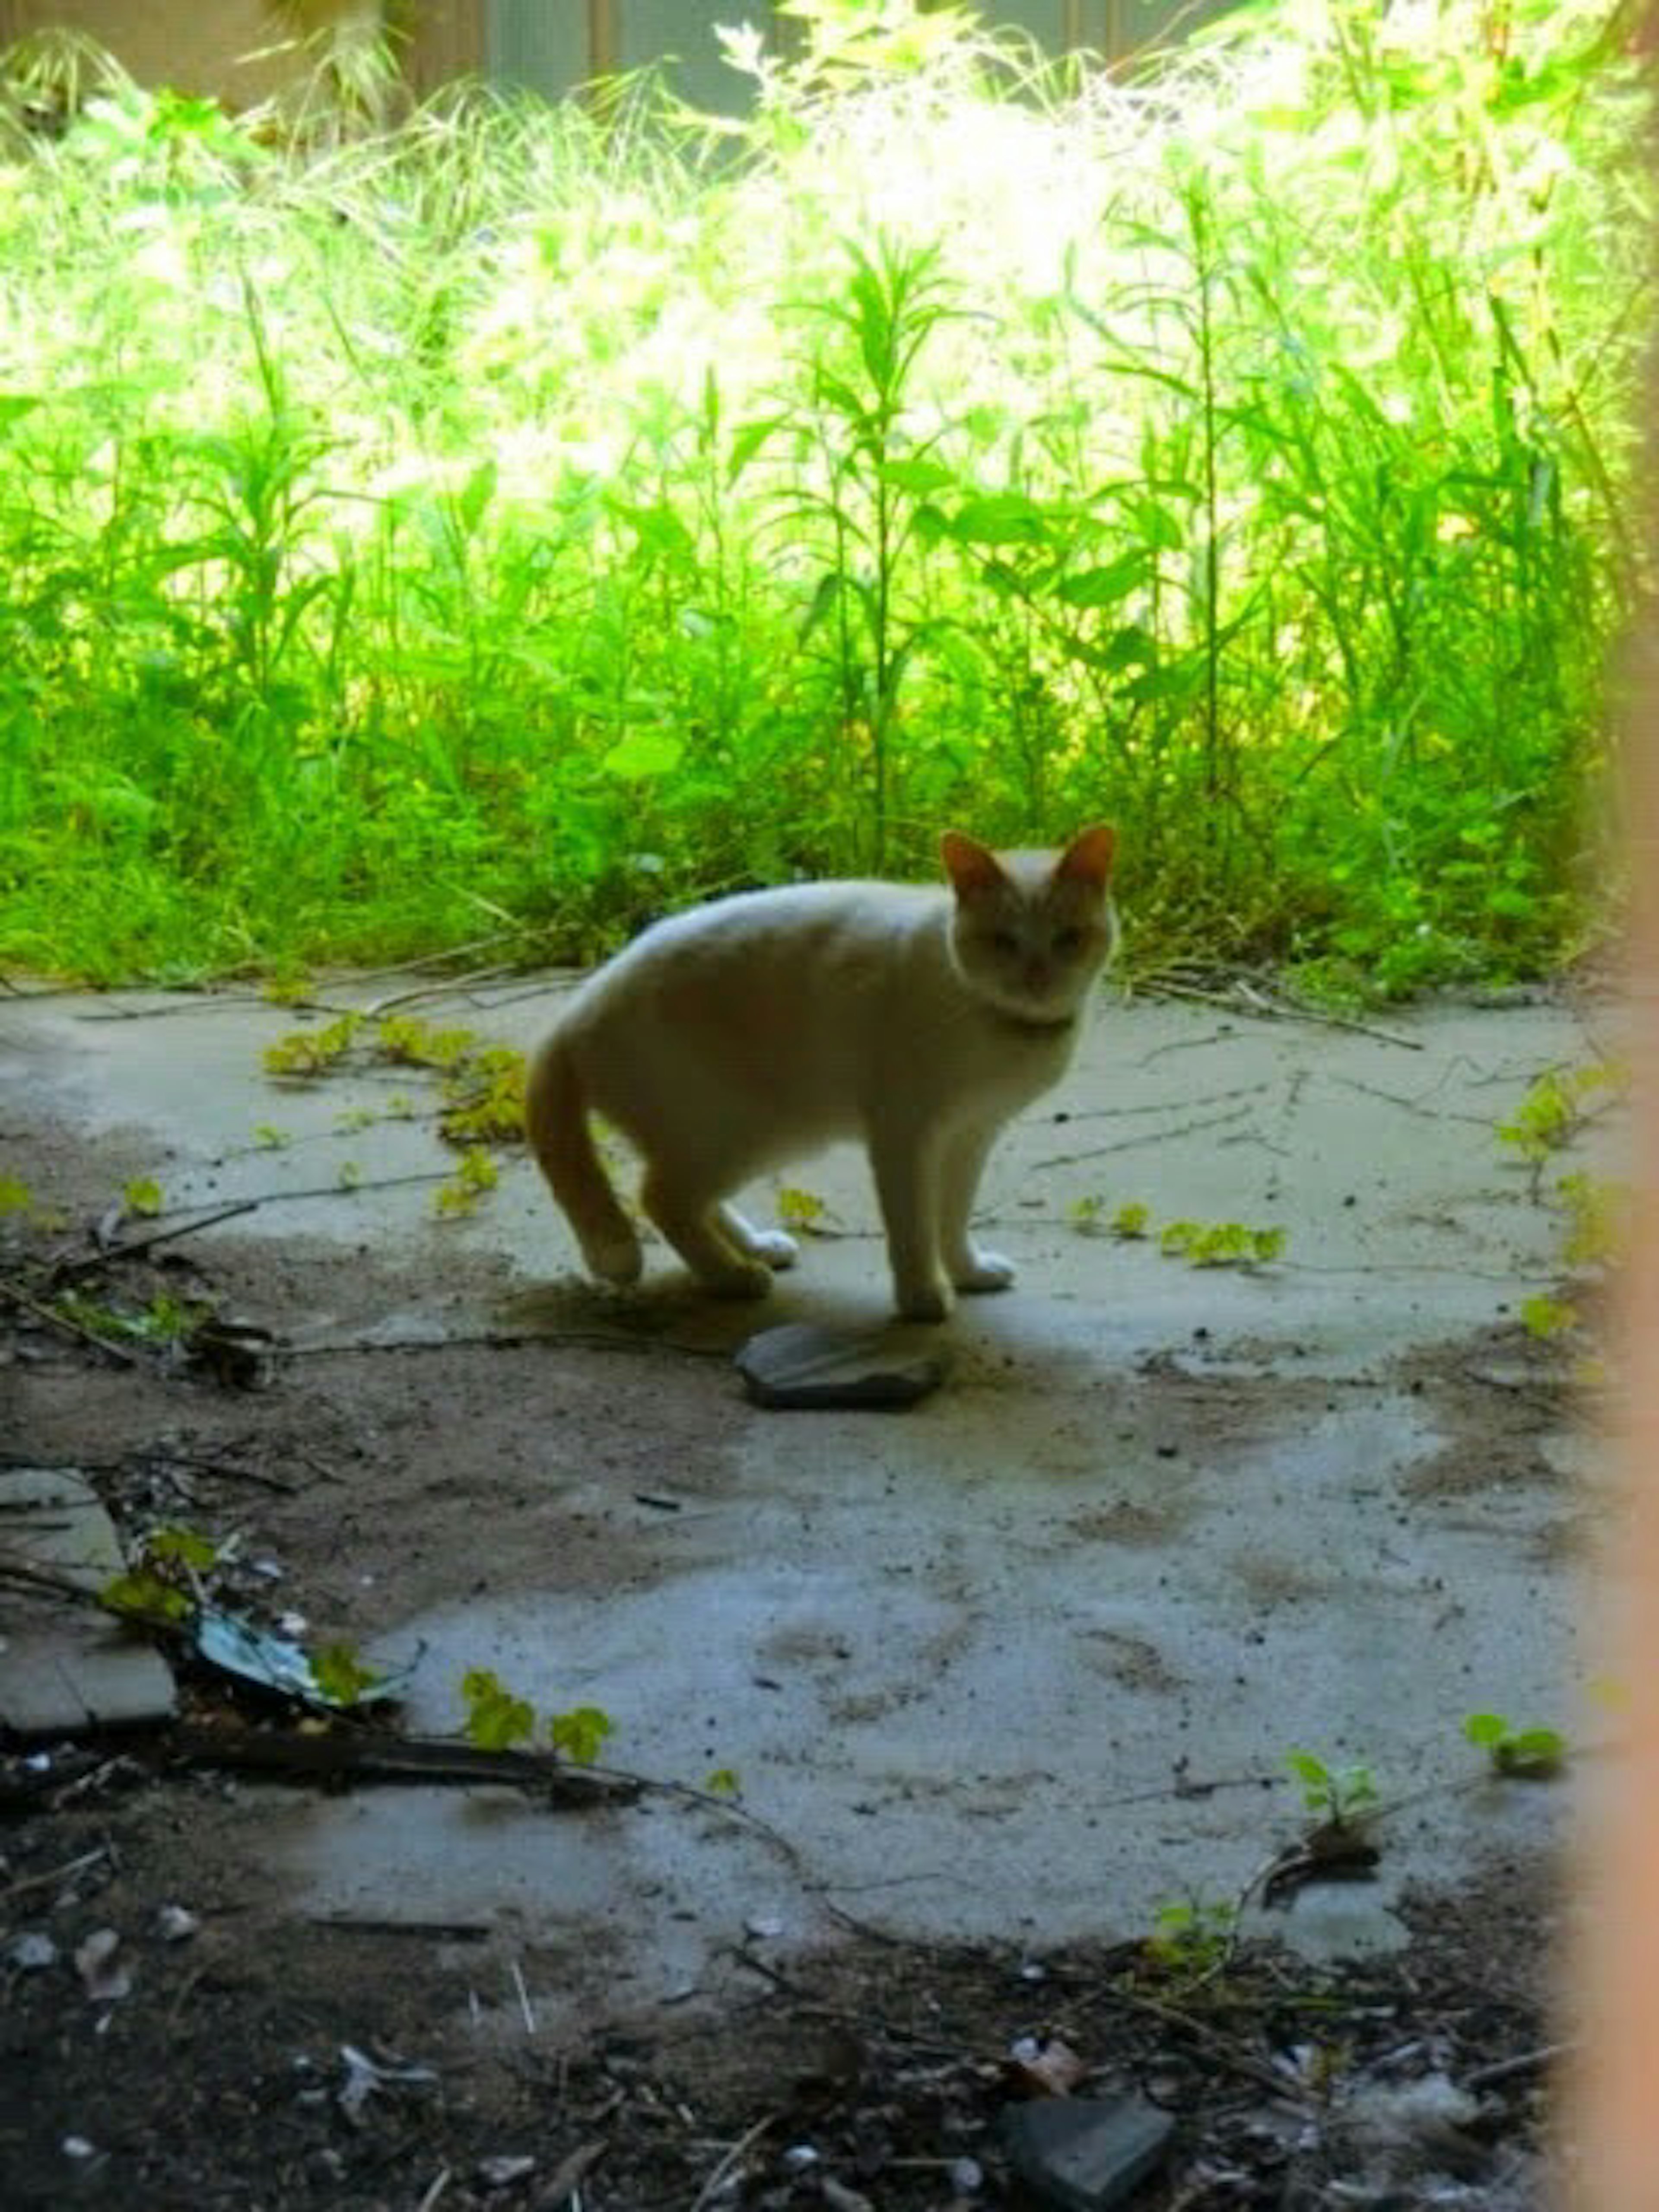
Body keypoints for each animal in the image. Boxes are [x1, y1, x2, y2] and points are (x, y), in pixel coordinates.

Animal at [526, 827, 1123, 1309]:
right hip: (746, 1132)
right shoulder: (905, 1135)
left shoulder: (972, 1134)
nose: (1037, 976)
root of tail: (577, 1008)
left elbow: (953, 1217)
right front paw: (923, 1299)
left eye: (1068, 938)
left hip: (738, 1136)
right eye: (1003, 941)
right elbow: (913, 1228)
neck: (1003, 1026)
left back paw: (755, 1249)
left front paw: (968, 1273)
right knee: (660, 1198)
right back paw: (733, 1277)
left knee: (685, 1197)